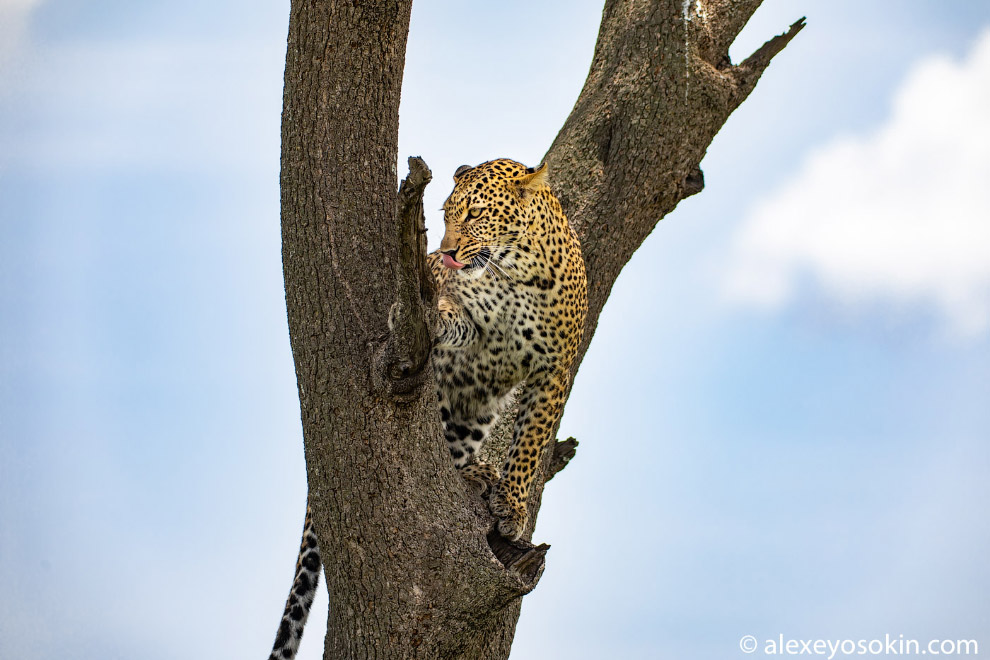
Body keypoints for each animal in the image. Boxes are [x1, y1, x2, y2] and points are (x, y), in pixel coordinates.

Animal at [268, 160, 584, 660]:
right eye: (446, 214)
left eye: (474, 214)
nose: (448, 250)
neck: (520, 271)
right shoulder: (471, 319)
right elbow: (449, 313)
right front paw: (427, 311)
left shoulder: (556, 368)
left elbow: (531, 443)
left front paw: (513, 506)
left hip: (475, 412)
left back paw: (477, 474)